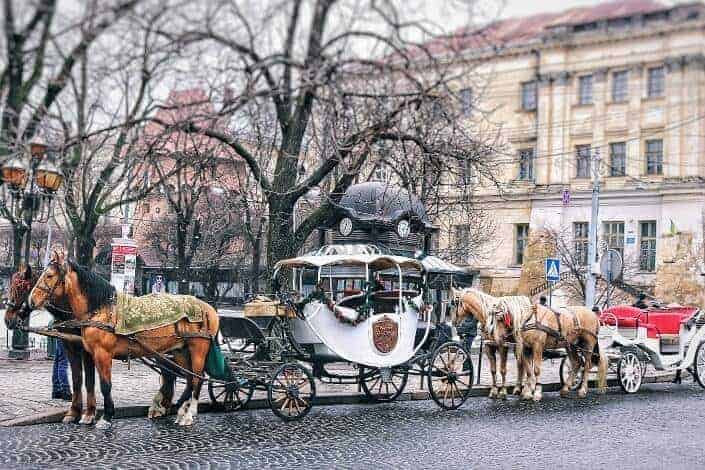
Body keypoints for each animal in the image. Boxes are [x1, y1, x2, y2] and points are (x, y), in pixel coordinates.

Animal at [3, 264, 99, 426]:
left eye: (20, 287)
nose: (7, 320)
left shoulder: (87, 350)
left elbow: (89, 380)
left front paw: (90, 413)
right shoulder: (69, 345)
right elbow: (77, 378)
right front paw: (73, 412)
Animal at [28, 252, 219, 428]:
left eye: (49, 275)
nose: (31, 301)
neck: (101, 309)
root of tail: (208, 308)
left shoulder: (102, 354)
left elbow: (105, 385)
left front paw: (106, 417)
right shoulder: (89, 352)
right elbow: (88, 381)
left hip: (197, 350)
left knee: (197, 379)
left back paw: (188, 414)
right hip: (179, 351)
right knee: (188, 378)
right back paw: (180, 410)